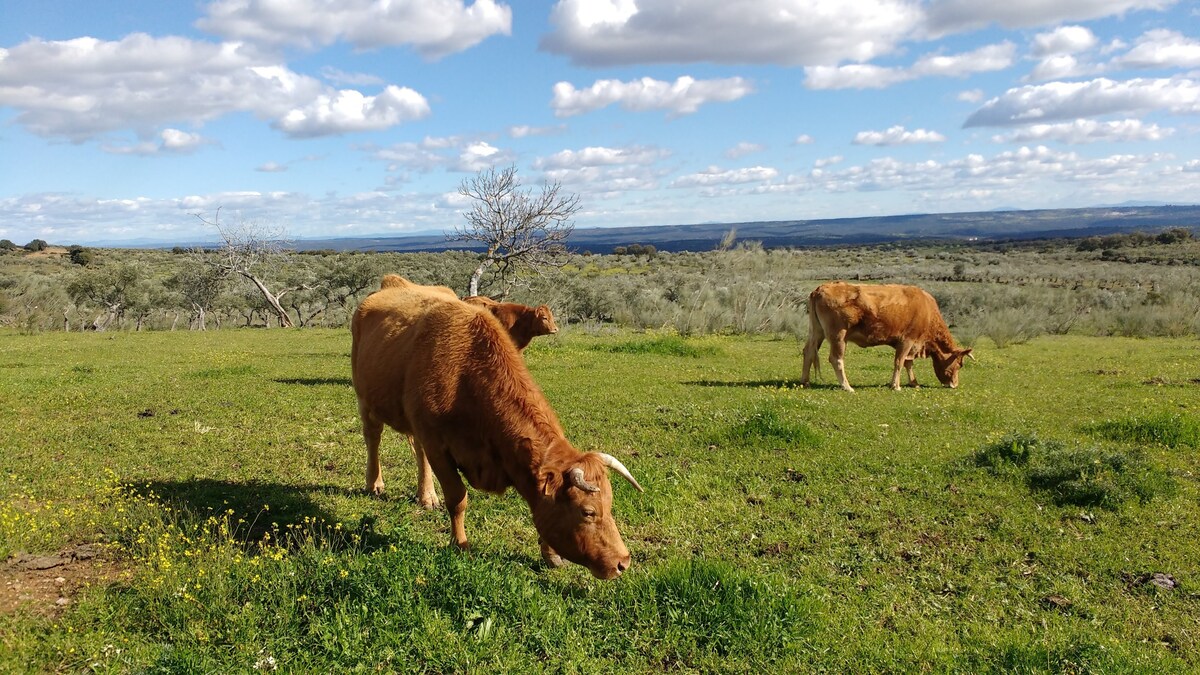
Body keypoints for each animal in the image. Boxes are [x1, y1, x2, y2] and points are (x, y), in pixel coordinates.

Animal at [350, 276, 643, 576]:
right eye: (587, 511)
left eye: (610, 504)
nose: (623, 562)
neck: (464, 376)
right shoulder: (438, 446)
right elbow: (457, 498)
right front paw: (460, 544)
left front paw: (551, 554)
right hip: (364, 398)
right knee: (373, 437)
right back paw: (374, 483)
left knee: (416, 450)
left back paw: (427, 495)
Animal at [796, 281, 974, 391]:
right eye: (960, 364)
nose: (954, 384)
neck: (927, 311)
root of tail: (820, 288)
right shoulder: (907, 341)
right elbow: (899, 362)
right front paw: (896, 385)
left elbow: (908, 363)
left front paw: (913, 383)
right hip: (838, 336)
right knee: (836, 359)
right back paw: (847, 387)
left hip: (816, 332)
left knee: (808, 351)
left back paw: (805, 381)